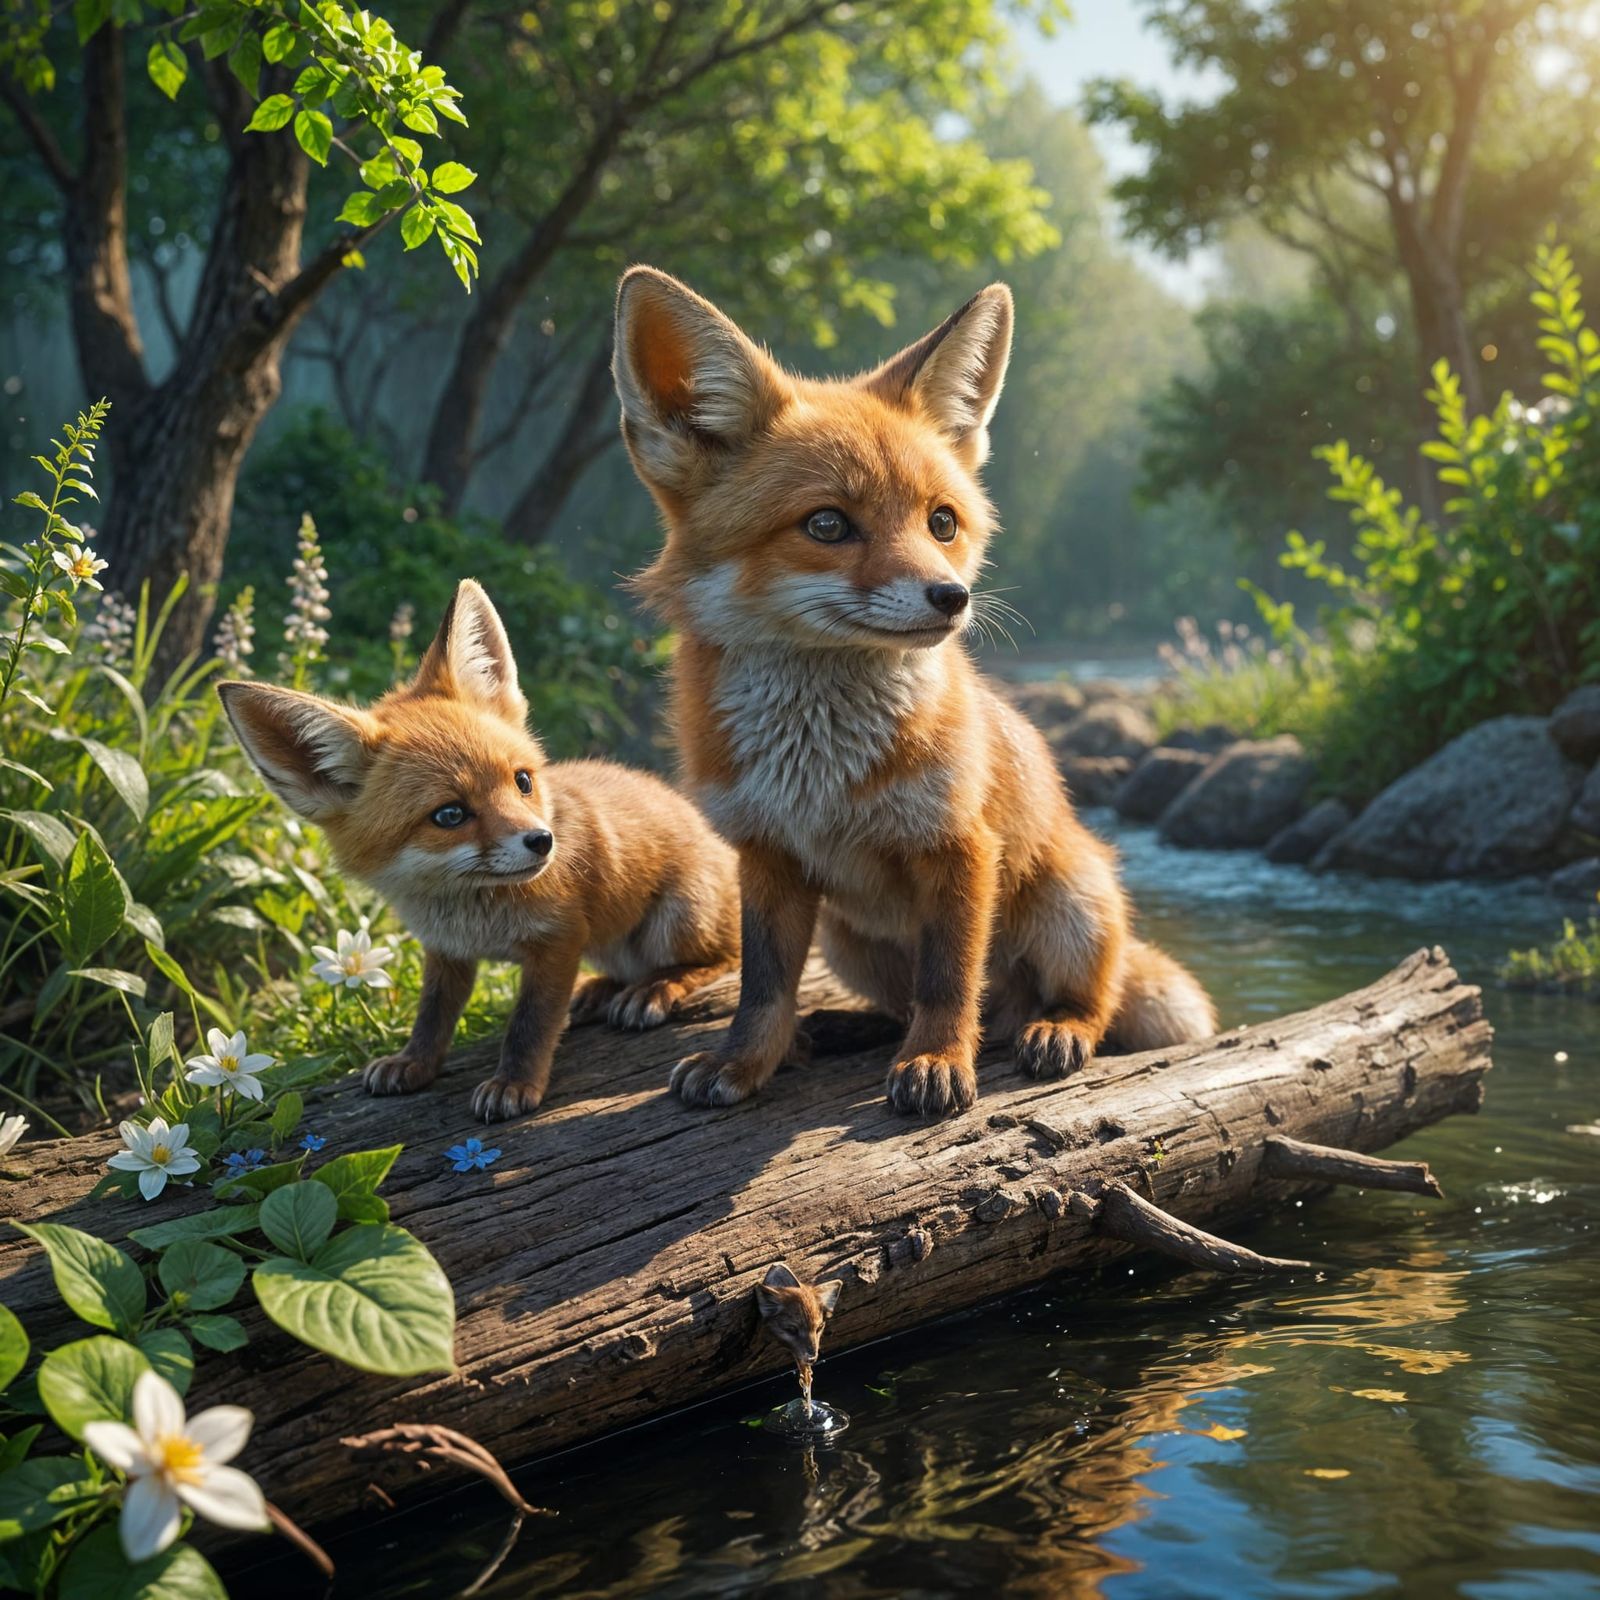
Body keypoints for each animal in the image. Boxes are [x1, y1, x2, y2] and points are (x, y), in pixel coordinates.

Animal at [217, 578, 741, 1122]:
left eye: (522, 781)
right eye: (450, 815)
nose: (543, 841)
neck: (474, 914)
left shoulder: (558, 941)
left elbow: (529, 1025)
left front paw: (515, 1083)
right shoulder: (446, 951)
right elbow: (431, 1016)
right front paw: (414, 1063)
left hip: (677, 922)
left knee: (729, 957)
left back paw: (658, 987)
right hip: (611, 942)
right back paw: (600, 990)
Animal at [611, 267, 1218, 1118]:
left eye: (942, 522)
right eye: (827, 525)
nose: (952, 598)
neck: (818, 769)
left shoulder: (960, 848)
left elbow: (949, 982)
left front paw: (936, 1063)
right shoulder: (766, 855)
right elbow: (764, 988)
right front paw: (746, 1062)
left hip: (1075, 904)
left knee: (1076, 1002)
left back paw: (1054, 1030)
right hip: (850, 940)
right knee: (900, 1006)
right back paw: (832, 1033)